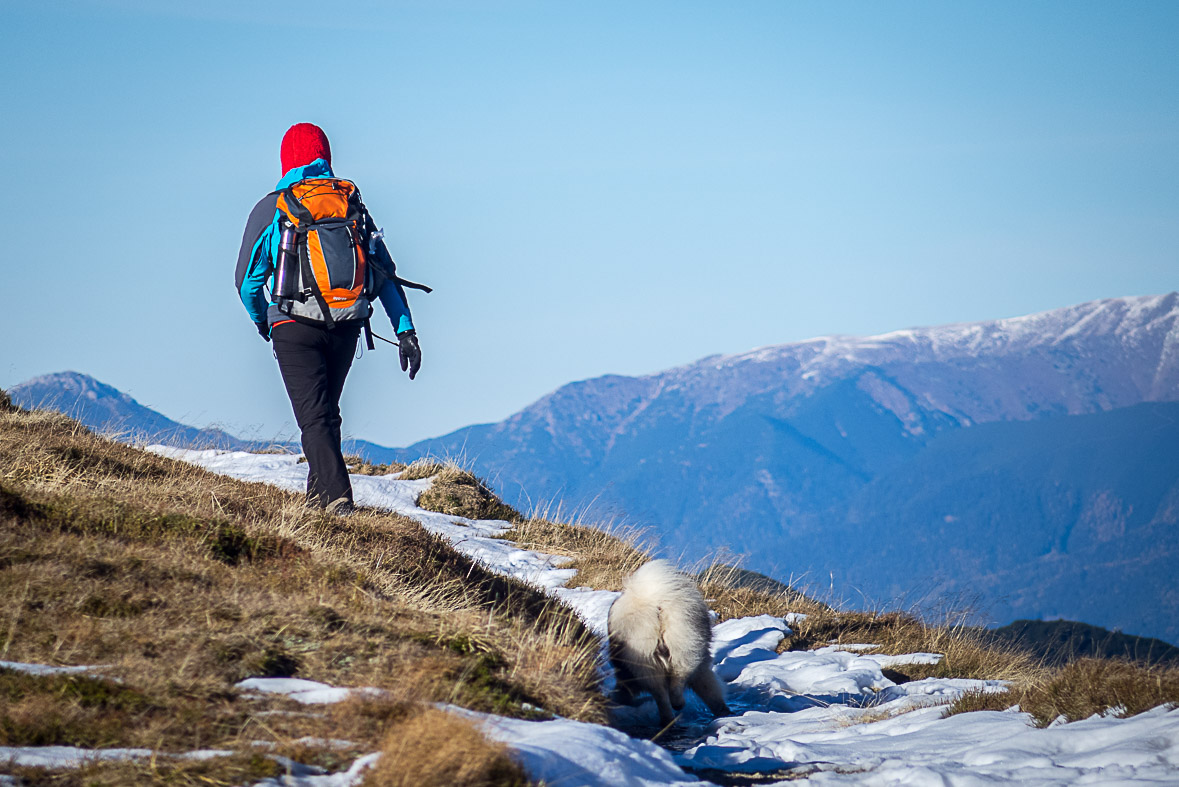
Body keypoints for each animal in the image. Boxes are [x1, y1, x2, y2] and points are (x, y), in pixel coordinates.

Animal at [608, 558, 726, 725]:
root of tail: (657, 606)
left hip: (650, 659)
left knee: (662, 692)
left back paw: (671, 713)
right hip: (684, 645)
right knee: (678, 680)